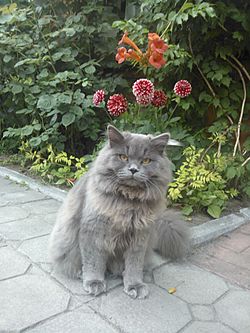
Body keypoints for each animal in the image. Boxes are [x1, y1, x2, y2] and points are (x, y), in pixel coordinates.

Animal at [49, 124, 189, 298]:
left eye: (146, 160)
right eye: (123, 157)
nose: (133, 169)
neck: (128, 201)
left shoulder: (140, 236)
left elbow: (134, 265)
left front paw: (135, 284)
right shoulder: (93, 231)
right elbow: (93, 261)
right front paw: (94, 282)